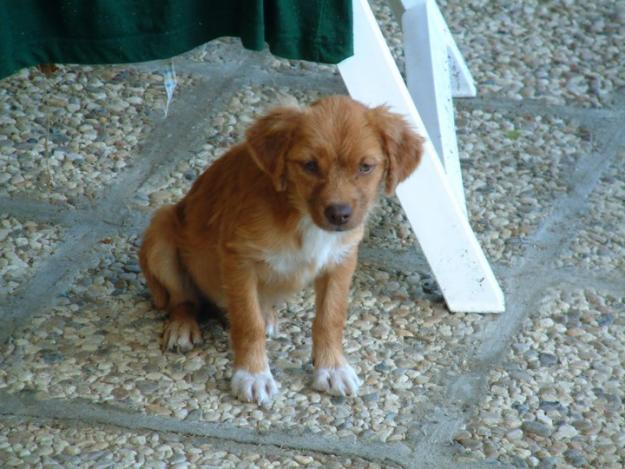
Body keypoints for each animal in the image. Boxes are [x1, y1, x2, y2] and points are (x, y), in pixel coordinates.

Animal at [140, 94, 424, 402]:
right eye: (309, 165)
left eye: (365, 167)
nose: (339, 215)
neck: (298, 214)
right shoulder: (239, 259)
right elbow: (247, 322)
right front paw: (253, 374)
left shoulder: (341, 259)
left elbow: (330, 318)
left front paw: (332, 368)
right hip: (162, 228)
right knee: (182, 299)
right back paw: (182, 327)